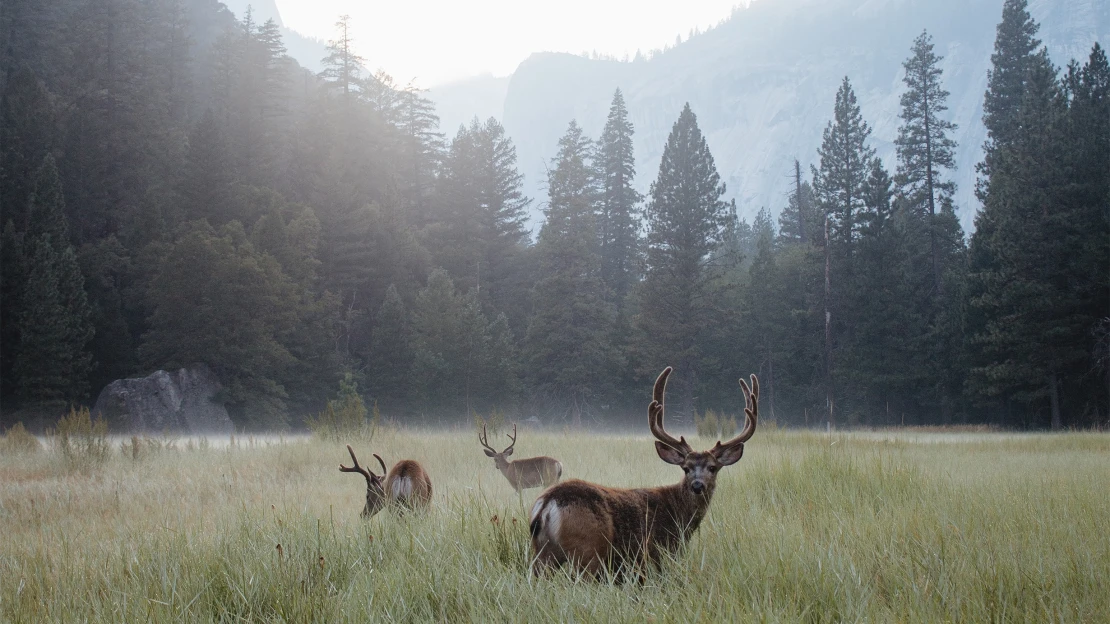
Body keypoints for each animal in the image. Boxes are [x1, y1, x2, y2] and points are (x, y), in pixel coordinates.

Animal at [526, 364, 754, 577]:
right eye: (686, 468)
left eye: (712, 467)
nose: (698, 485)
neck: (678, 514)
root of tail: (547, 504)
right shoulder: (657, 554)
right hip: (587, 550)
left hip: (543, 554)